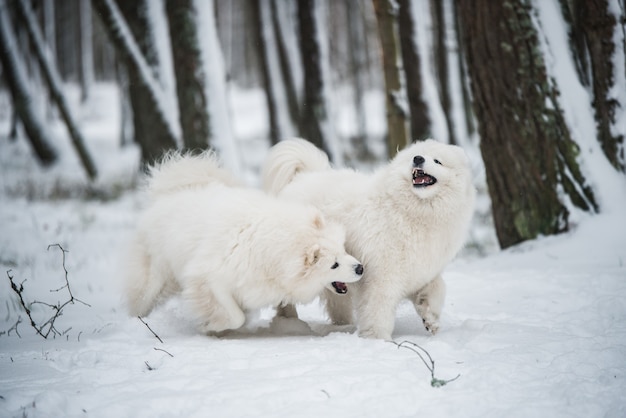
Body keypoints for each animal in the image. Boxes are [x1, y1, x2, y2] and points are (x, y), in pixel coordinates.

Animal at [124, 152, 364, 334]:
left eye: (344, 249)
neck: (271, 247)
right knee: (142, 297)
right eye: (333, 264)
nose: (360, 268)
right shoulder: (209, 278)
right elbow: (234, 315)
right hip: (155, 278)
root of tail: (166, 195)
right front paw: (212, 325)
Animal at [260, 139, 472, 342]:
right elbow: (378, 309)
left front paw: (430, 319)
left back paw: (342, 326)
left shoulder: (421, 270)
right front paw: (378, 338)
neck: (414, 212)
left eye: (437, 161)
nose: (418, 158)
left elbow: (437, 289)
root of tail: (302, 177)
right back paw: (289, 322)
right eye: (415, 155)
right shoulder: (383, 276)